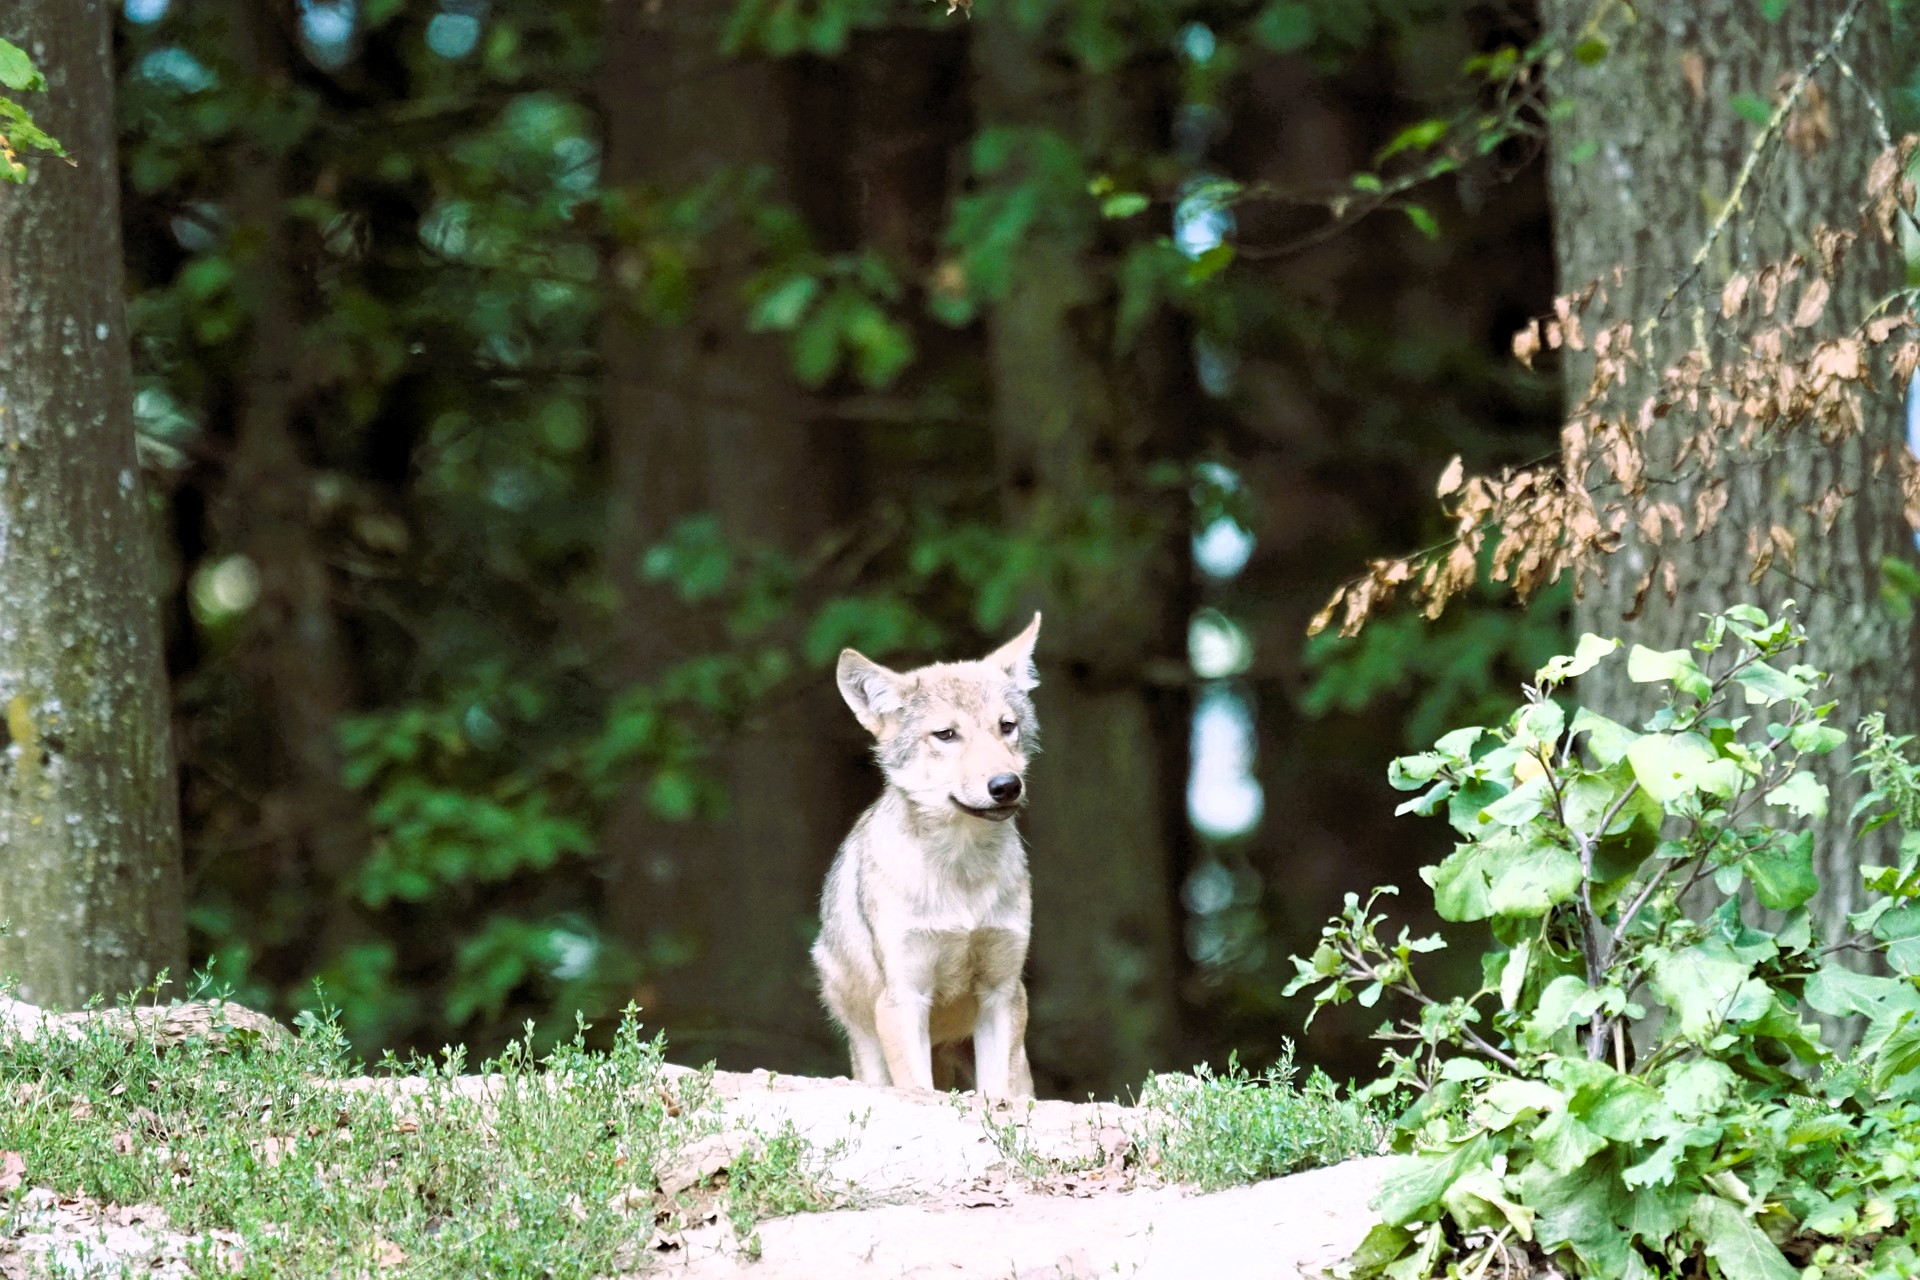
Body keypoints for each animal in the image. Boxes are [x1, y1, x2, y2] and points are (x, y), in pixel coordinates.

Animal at [811, 614, 1041, 1099]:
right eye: (946, 735)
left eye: (1006, 726)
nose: (1006, 785)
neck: (960, 875)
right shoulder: (904, 997)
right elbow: (918, 1088)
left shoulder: (1003, 992)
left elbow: (996, 1093)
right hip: (869, 1048)